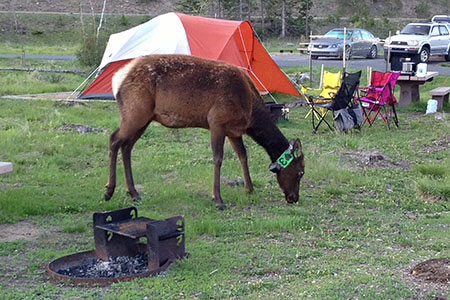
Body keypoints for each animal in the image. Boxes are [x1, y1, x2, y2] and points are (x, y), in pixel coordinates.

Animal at [103, 54, 304, 209]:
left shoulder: (234, 131)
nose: (294, 198)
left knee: (127, 146)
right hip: (135, 112)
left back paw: (133, 192)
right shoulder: (217, 121)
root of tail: (116, 78)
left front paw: (250, 189)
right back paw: (109, 191)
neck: (251, 113)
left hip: (144, 118)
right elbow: (218, 158)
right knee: (114, 139)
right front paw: (218, 199)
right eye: (300, 171)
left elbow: (243, 155)